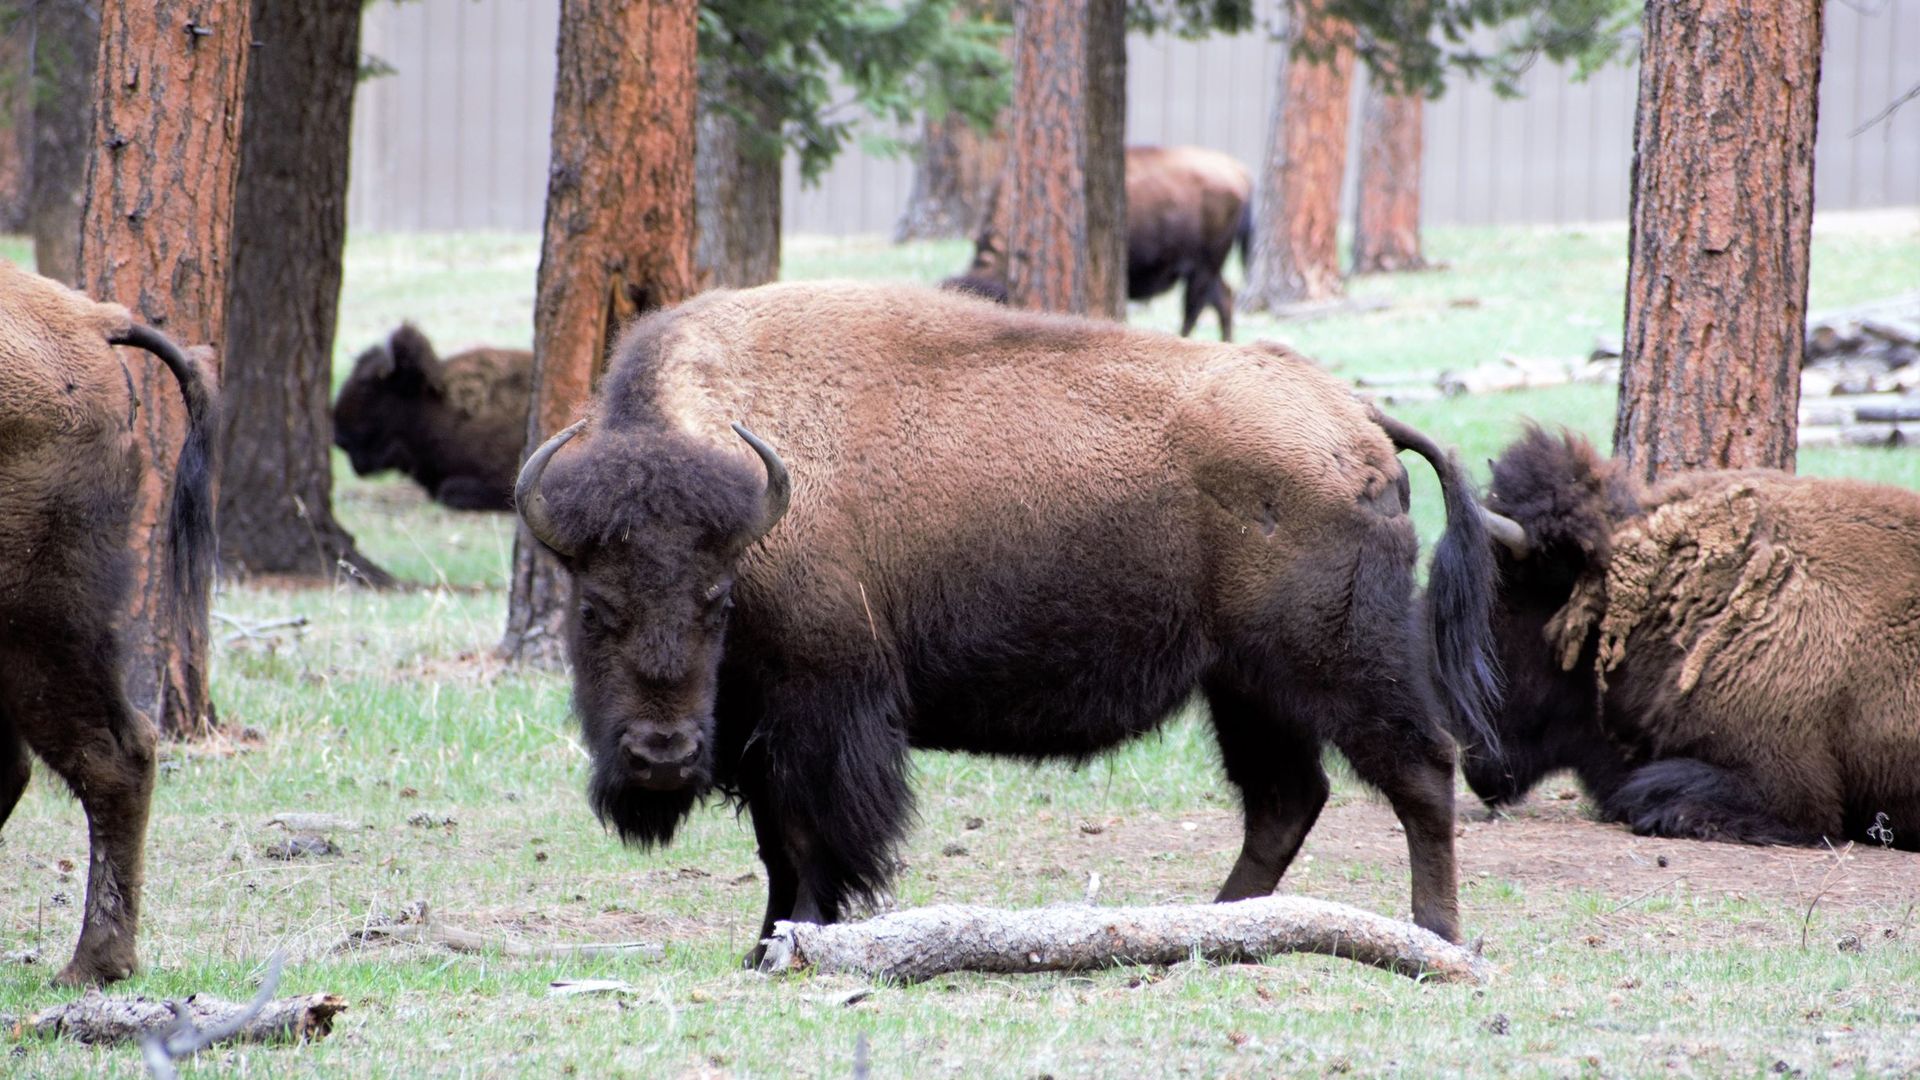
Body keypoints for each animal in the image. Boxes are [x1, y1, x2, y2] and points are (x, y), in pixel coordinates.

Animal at [514, 281, 1508, 954]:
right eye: (593, 608)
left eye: (715, 601)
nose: (661, 754)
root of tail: (1358, 419)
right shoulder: (761, 728)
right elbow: (775, 845)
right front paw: (765, 944)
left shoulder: (822, 710)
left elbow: (810, 839)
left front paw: (795, 940)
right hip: (1246, 688)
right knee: (1286, 800)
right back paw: (1219, 923)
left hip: (1335, 662)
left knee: (1420, 771)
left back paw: (1436, 936)